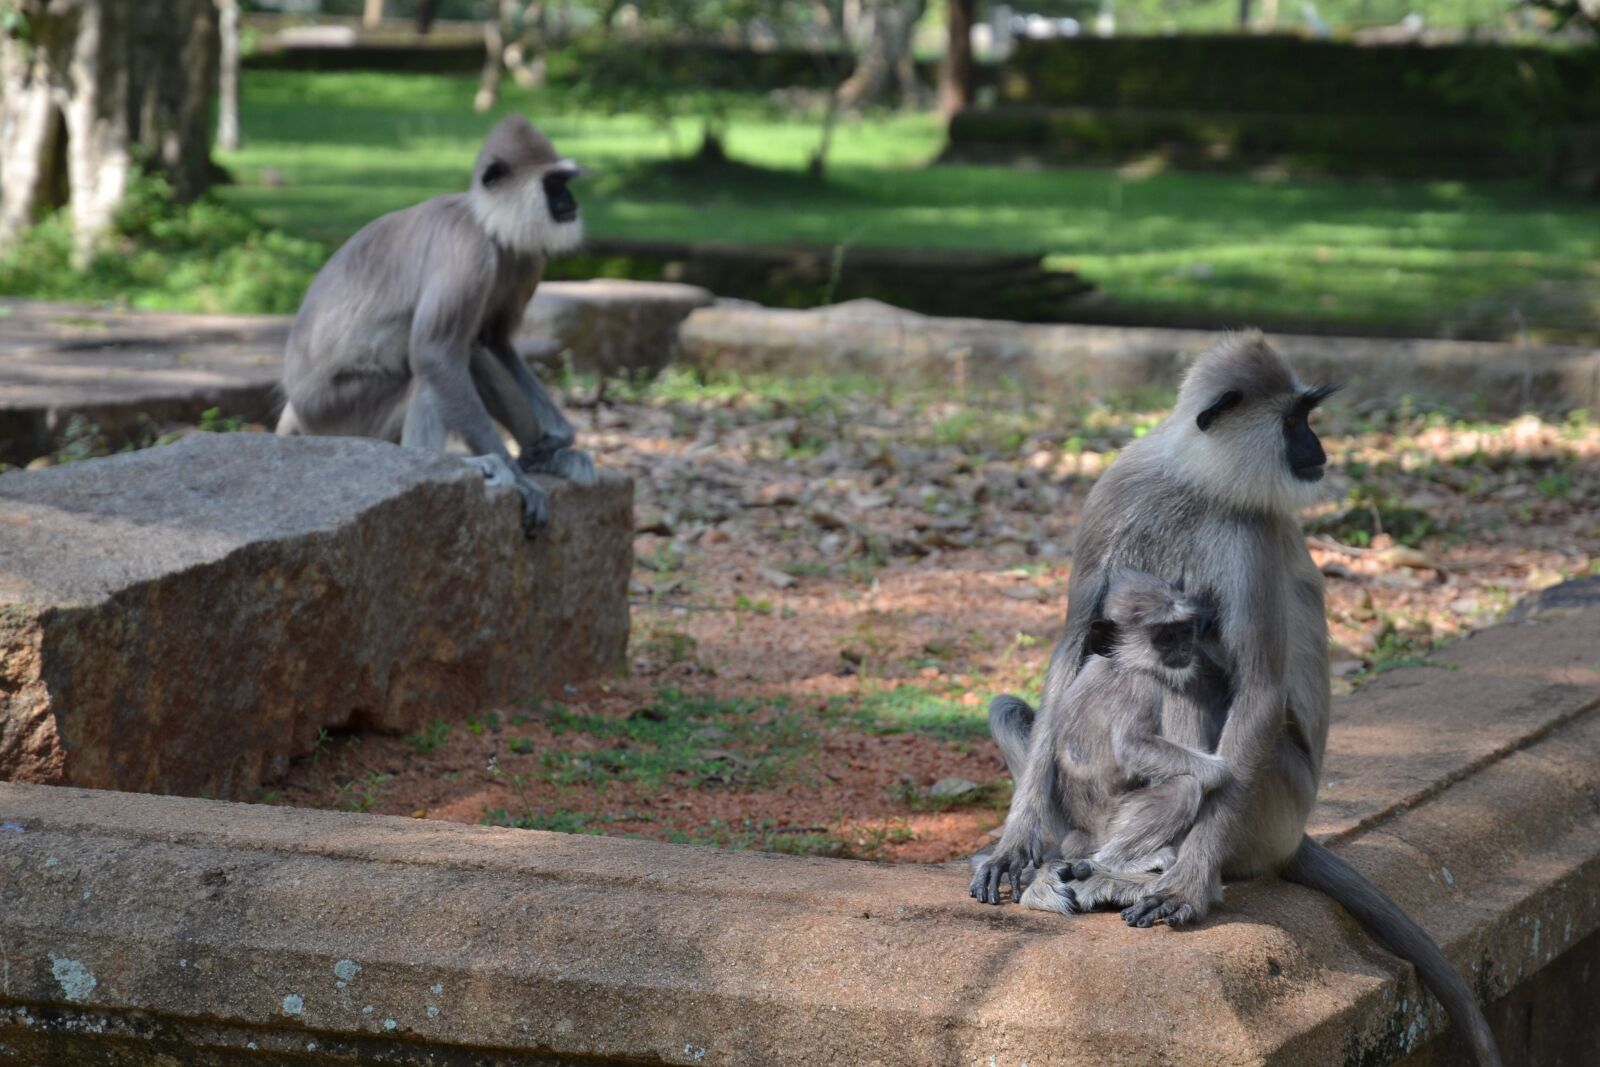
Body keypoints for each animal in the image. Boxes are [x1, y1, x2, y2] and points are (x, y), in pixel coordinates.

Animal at [276, 114, 594, 537]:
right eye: (554, 184)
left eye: (565, 183)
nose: (570, 203)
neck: (488, 225)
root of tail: (295, 408)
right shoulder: (467, 249)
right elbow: (434, 353)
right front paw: (522, 480)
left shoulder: (525, 258)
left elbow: (495, 340)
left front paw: (555, 439)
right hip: (339, 413)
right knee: (428, 371)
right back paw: (452, 465)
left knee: (471, 356)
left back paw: (536, 458)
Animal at [968, 334, 1502, 1067]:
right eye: (1295, 420)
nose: (1317, 447)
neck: (1194, 483)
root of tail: (1294, 832)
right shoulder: (1115, 490)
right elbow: (1074, 643)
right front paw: (1012, 848)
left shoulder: (1248, 532)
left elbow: (1255, 687)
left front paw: (1187, 888)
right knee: (1018, 706)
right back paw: (1069, 859)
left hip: (1274, 797)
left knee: (1199, 686)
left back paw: (1146, 870)